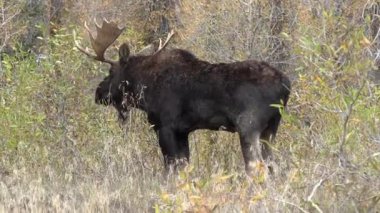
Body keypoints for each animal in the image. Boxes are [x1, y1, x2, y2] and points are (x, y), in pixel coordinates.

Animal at [76, 19, 290, 174]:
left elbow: (172, 169)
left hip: (248, 126)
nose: (98, 92)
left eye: (111, 71)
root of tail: (286, 85)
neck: (145, 87)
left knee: (257, 167)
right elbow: (185, 166)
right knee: (273, 166)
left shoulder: (165, 127)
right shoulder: (183, 131)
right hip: (270, 129)